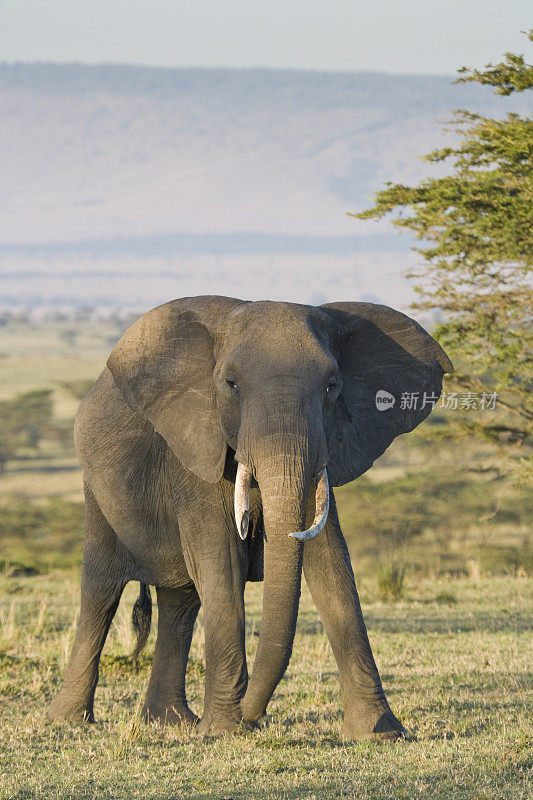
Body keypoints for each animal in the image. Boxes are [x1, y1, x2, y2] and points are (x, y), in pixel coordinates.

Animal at [47, 296, 450, 740]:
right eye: (231, 384)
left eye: (332, 386)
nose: (255, 717)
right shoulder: (197, 449)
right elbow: (223, 564)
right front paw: (225, 731)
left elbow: (333, 568)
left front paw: (380, 733)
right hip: (96, 493)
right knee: (101, 593)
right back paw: (70, 720)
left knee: (180, 602)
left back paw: (172, 722)